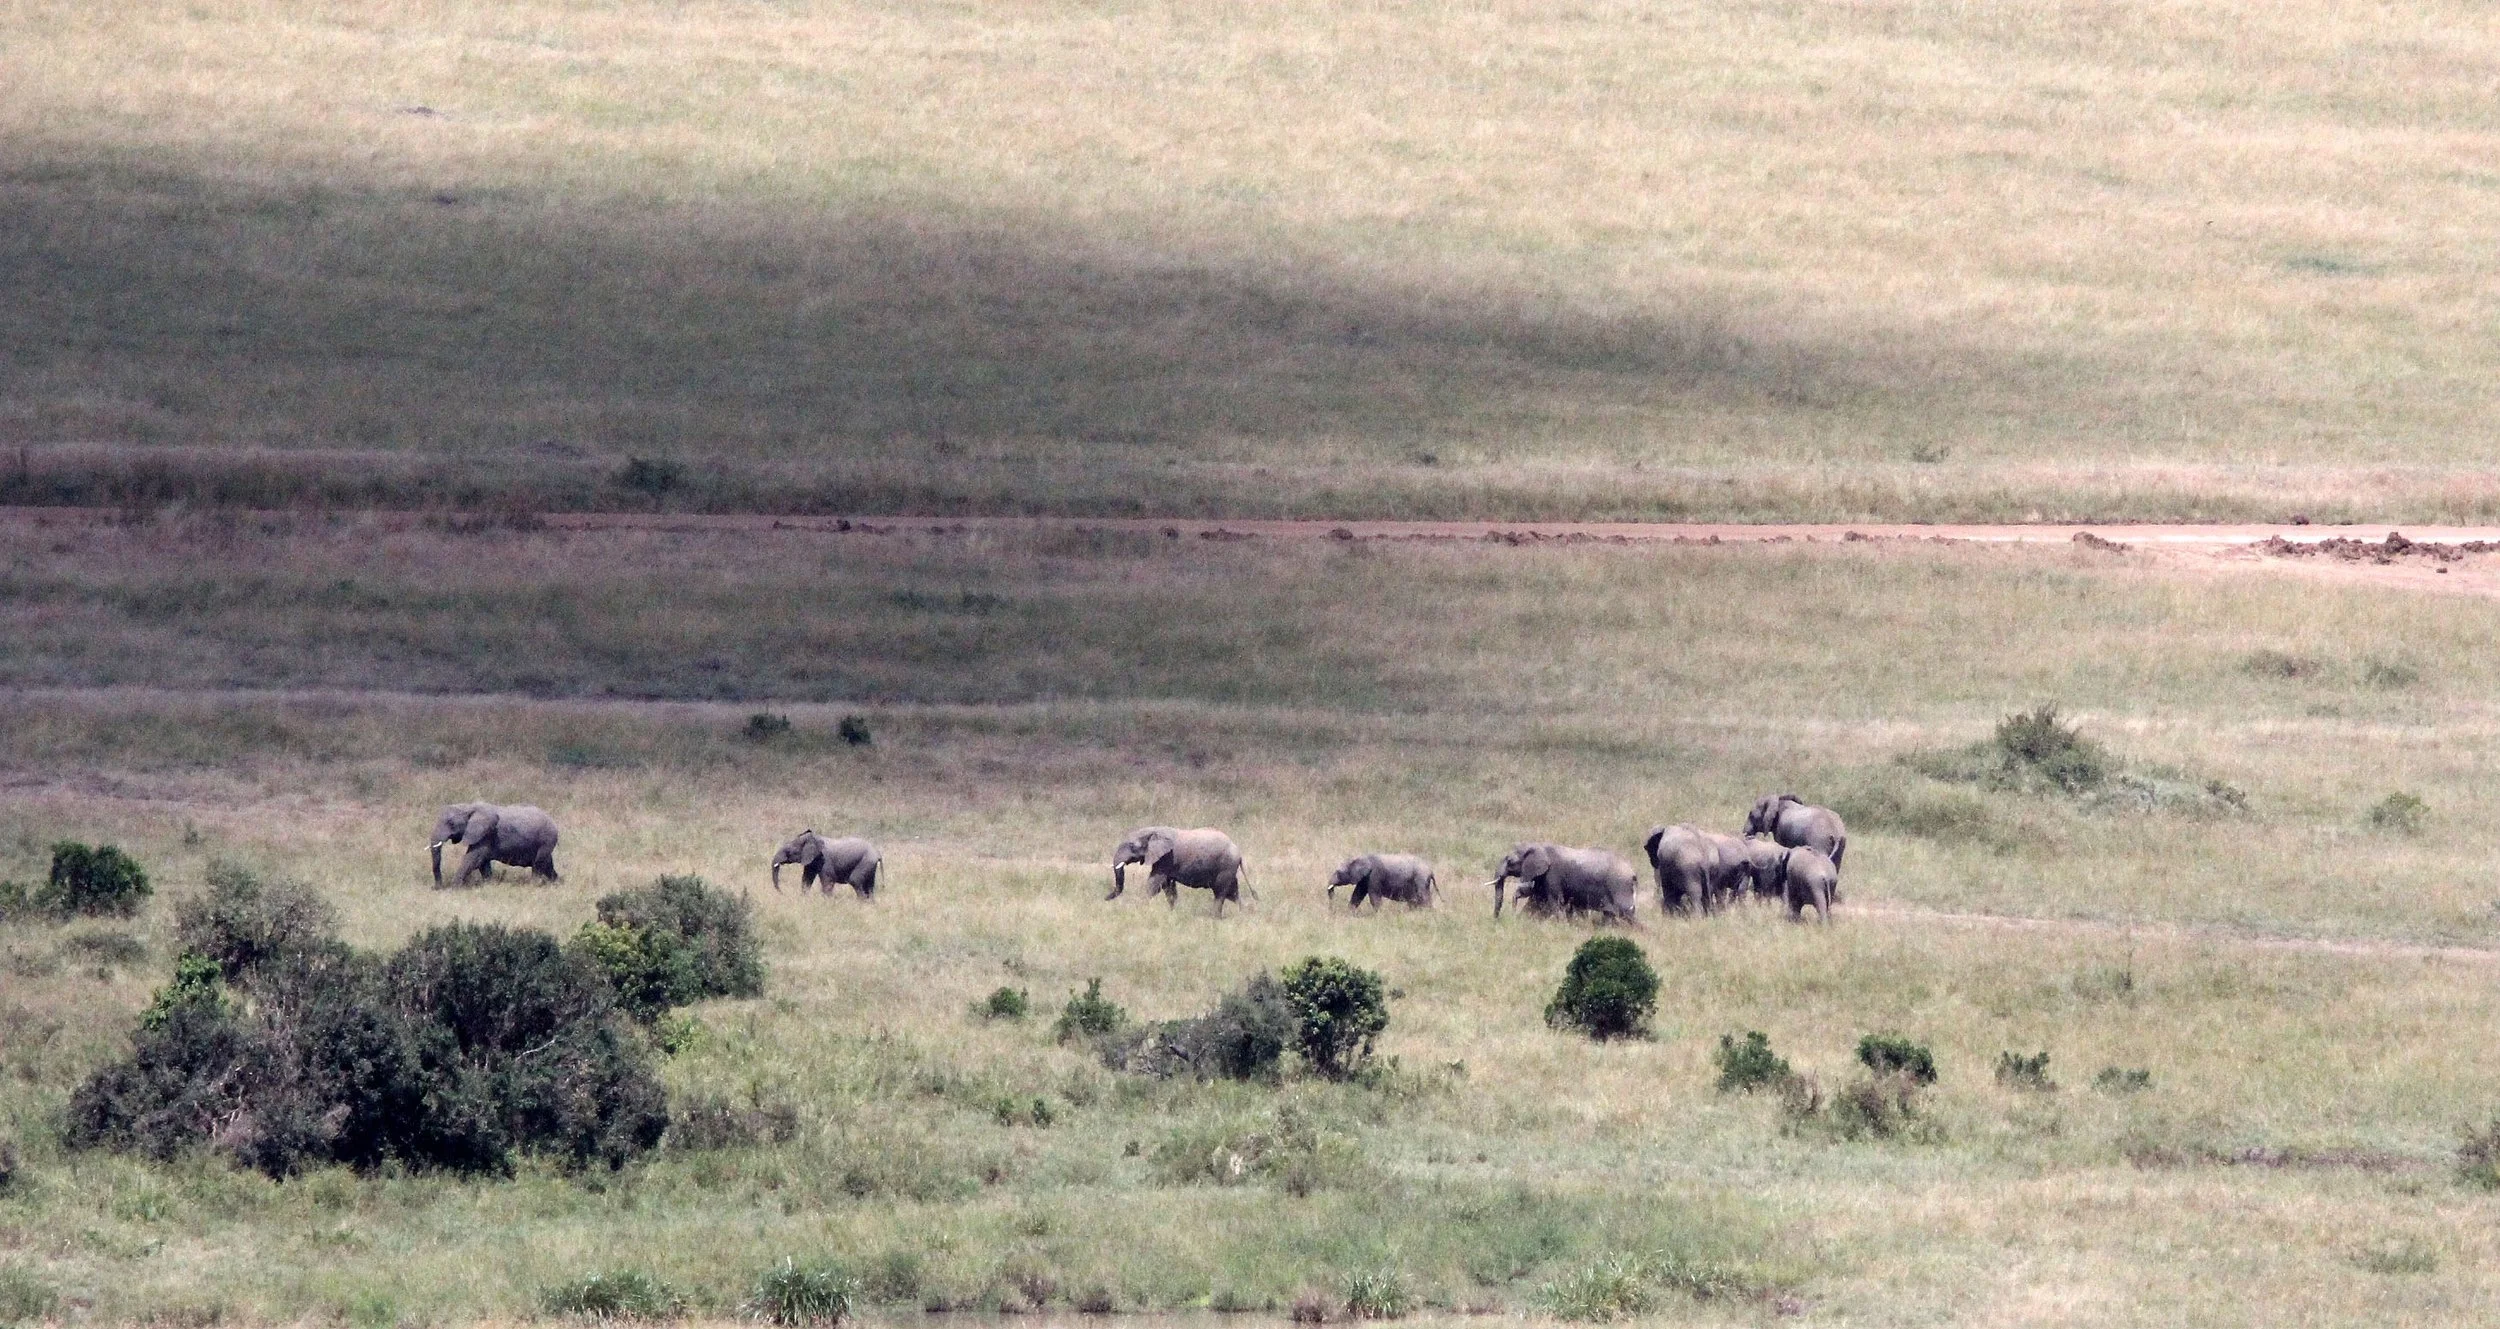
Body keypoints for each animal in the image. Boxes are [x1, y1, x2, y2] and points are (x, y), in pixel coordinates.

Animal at [428, 802, 559, 887]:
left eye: (451, 823)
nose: (436, 887)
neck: (468, 806)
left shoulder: (486, 834)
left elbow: (473, 859)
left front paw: (453, 888)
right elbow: (482, 863)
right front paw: (489, 885)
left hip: (546, 840)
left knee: (538, 864)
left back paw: (534, 885)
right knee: (547, 864)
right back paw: (556, 883)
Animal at [1108, 826, 1249, 914]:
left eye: (1131, 846)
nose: (1105, 898)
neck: (1154, 830)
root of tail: (1239, 853)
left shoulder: (1167, 857)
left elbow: (1154, 883)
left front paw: (1141, 909)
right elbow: (1168, 887)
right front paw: (1172, 913)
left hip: (1226, 866)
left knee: (1220, 892)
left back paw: (1214, 917)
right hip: (1229, 869)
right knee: (1232, 893)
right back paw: (1244, 913)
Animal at [1489, 843, 1638, 924]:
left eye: (1509, 861)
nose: (1496, 920)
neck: (1539, 846)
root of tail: (1632, 873)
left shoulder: (1553, 875)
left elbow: (1555, 902)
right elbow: (1536, 902)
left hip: (1619, 886)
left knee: (1627, 915)